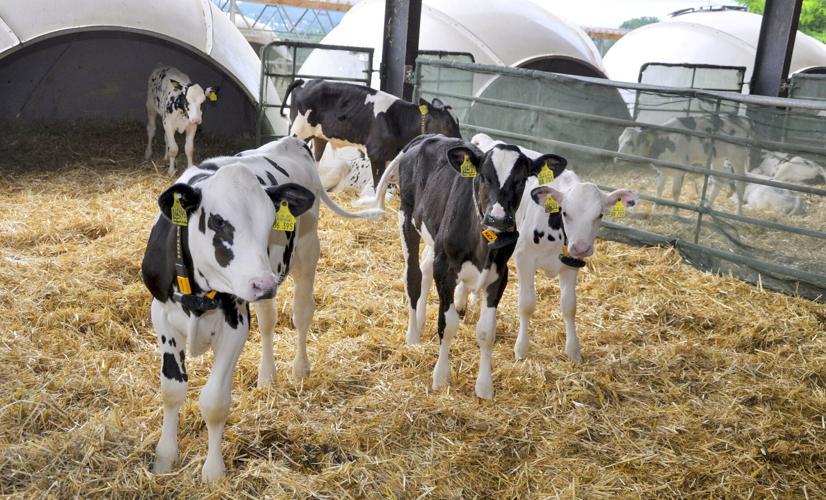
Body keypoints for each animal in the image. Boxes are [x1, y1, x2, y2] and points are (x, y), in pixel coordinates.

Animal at [141, 136, 382, 482]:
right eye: (217, 221)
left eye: (270, 222)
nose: (262, 283)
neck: (198, 294)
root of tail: (292, 140)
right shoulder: (161, 315)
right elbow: (172, 390)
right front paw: (164, 458)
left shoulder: (236, 323)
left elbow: (214, 402)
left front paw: (213, 472)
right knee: (269, 321)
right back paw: (267, 376)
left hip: (306, 252)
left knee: (301, 313)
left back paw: (300, 368)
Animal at [280, 78, 462, 184]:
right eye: (447, 123)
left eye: (458, 122)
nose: (460, 144)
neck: (398, 120)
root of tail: (305, 81)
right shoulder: (376, 154)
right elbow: (377, 184)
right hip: (299, 131)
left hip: (319, 137)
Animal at [369, 134, 565, 399]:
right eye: (483, 176)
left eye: (520, 180)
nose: (498, 218)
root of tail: (430, 136)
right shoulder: (445, 267)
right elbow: (448, 324)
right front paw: (441, 377)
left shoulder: (499, 275)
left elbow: (486, 331)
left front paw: (484, 386)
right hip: (407, 219)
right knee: (413, 276)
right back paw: (413, 335)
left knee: (425, 269)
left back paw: (420, 321)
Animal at [617, 114, 752, 215]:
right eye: (619, 140)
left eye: (630, 142)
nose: (617, 158)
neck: (663, 141)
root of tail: (742, 120)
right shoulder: (663, 169)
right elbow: (659, 188)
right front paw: (655, 209)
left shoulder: (679, 170)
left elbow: (675, 191)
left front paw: (675, 213)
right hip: (718, 158)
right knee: (719, 180)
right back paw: (707, 206)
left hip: (738, 156)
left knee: (741, 182)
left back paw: (738, 213)